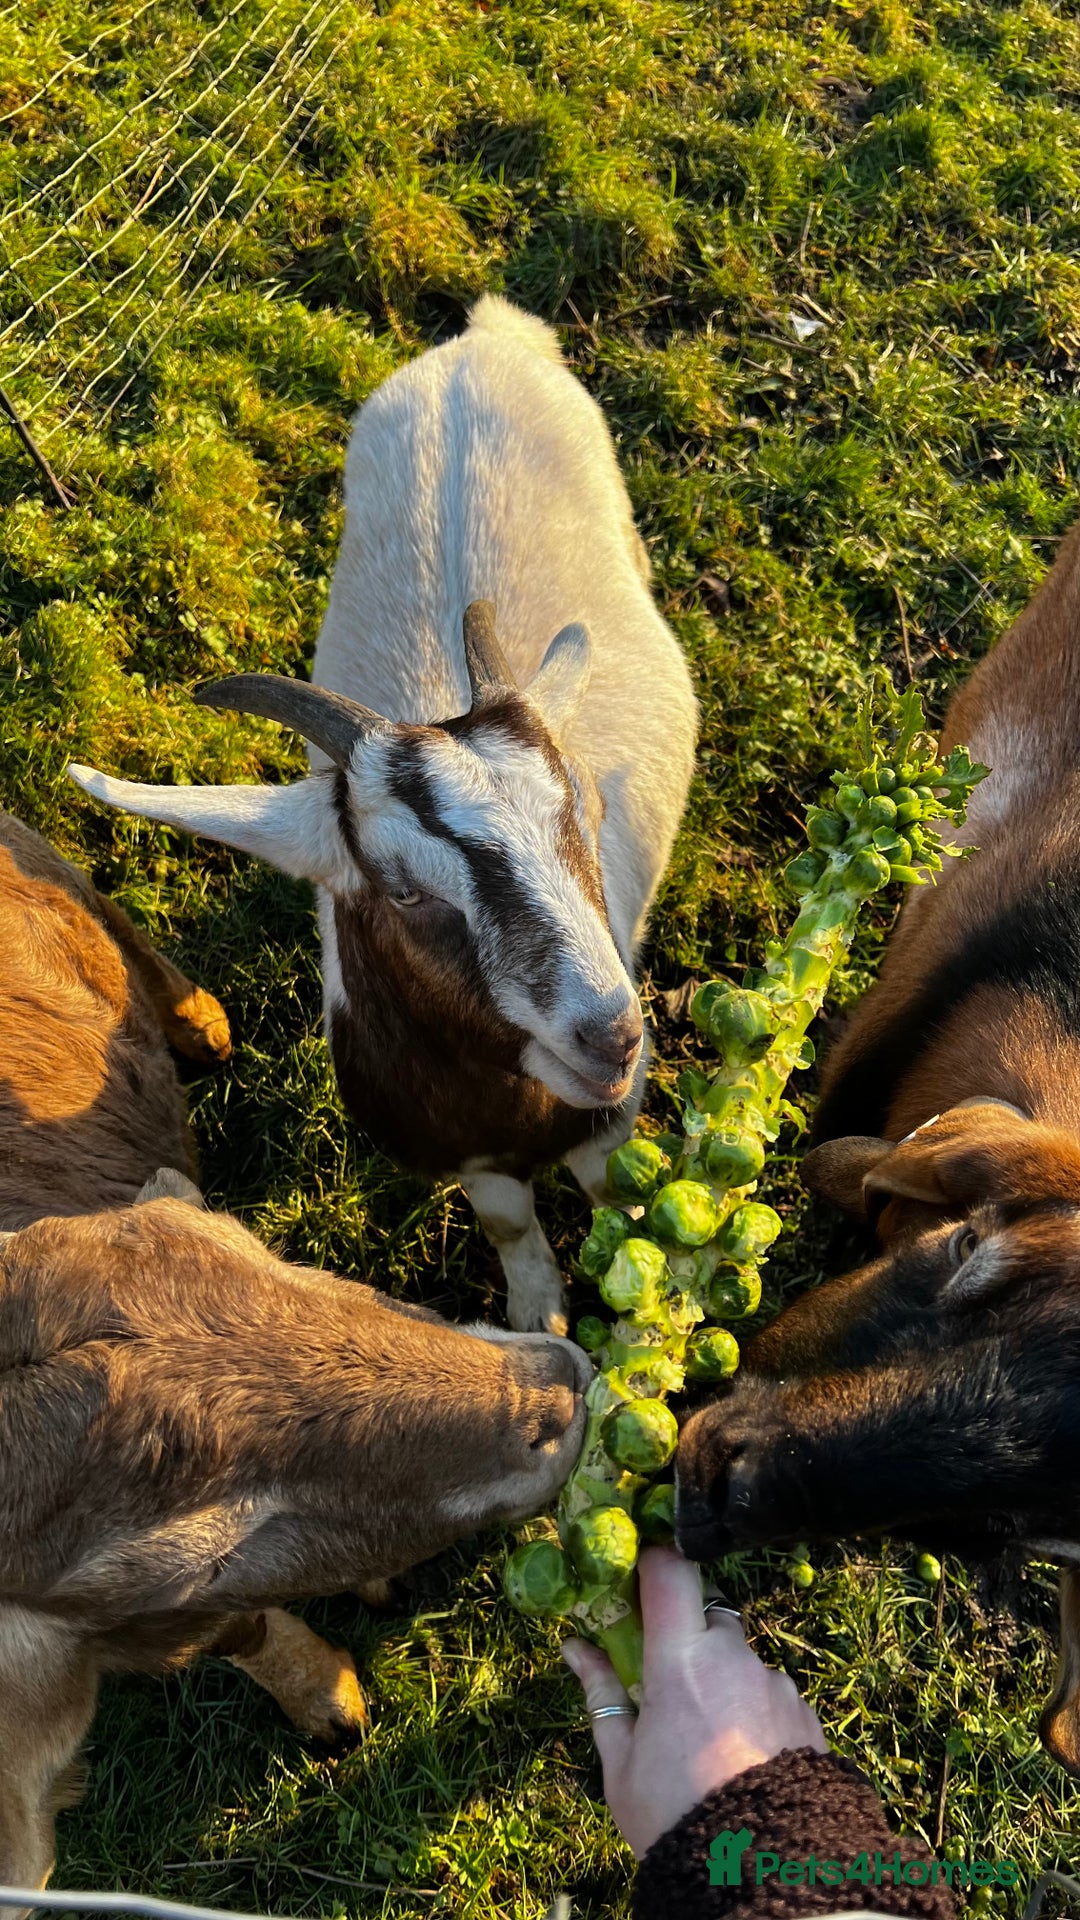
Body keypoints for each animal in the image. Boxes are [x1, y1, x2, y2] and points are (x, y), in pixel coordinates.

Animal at [0, 812, 589, 1904]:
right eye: (202, 1549)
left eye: (227, 1239)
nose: (556, 1394)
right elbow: (242, 1629)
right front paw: (330, 1696)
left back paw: (200, 1023)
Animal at [69, 294, 698, 1336]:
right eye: (402, 889)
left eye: (581, 811)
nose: (610, 1035)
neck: (511, 1111)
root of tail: (480, 343)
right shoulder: (467, 1157)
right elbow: (511, 1227)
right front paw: (539, 1316)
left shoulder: (610, 1118)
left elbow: (618, 1198)